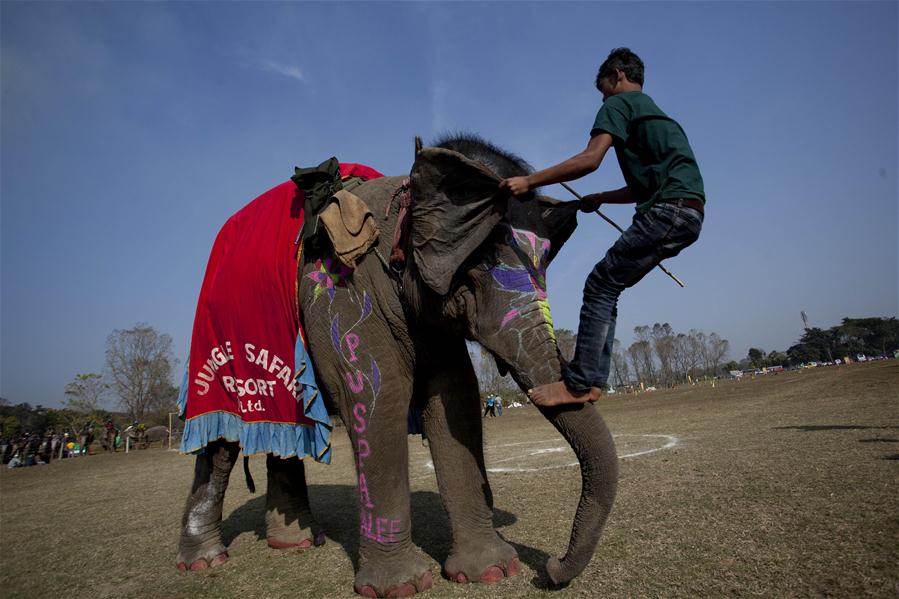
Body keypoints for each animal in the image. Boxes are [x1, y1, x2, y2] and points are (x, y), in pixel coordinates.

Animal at [179, 134, 624, 596]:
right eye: (475, 274)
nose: (551, 569)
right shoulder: (344, 294)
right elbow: (380, 396)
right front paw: (400, 587)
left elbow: (455, 399)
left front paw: (492, 572)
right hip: (214, 342)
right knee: (220, 444)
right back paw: (205, 560)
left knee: (287, 433)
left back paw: (294, 543)